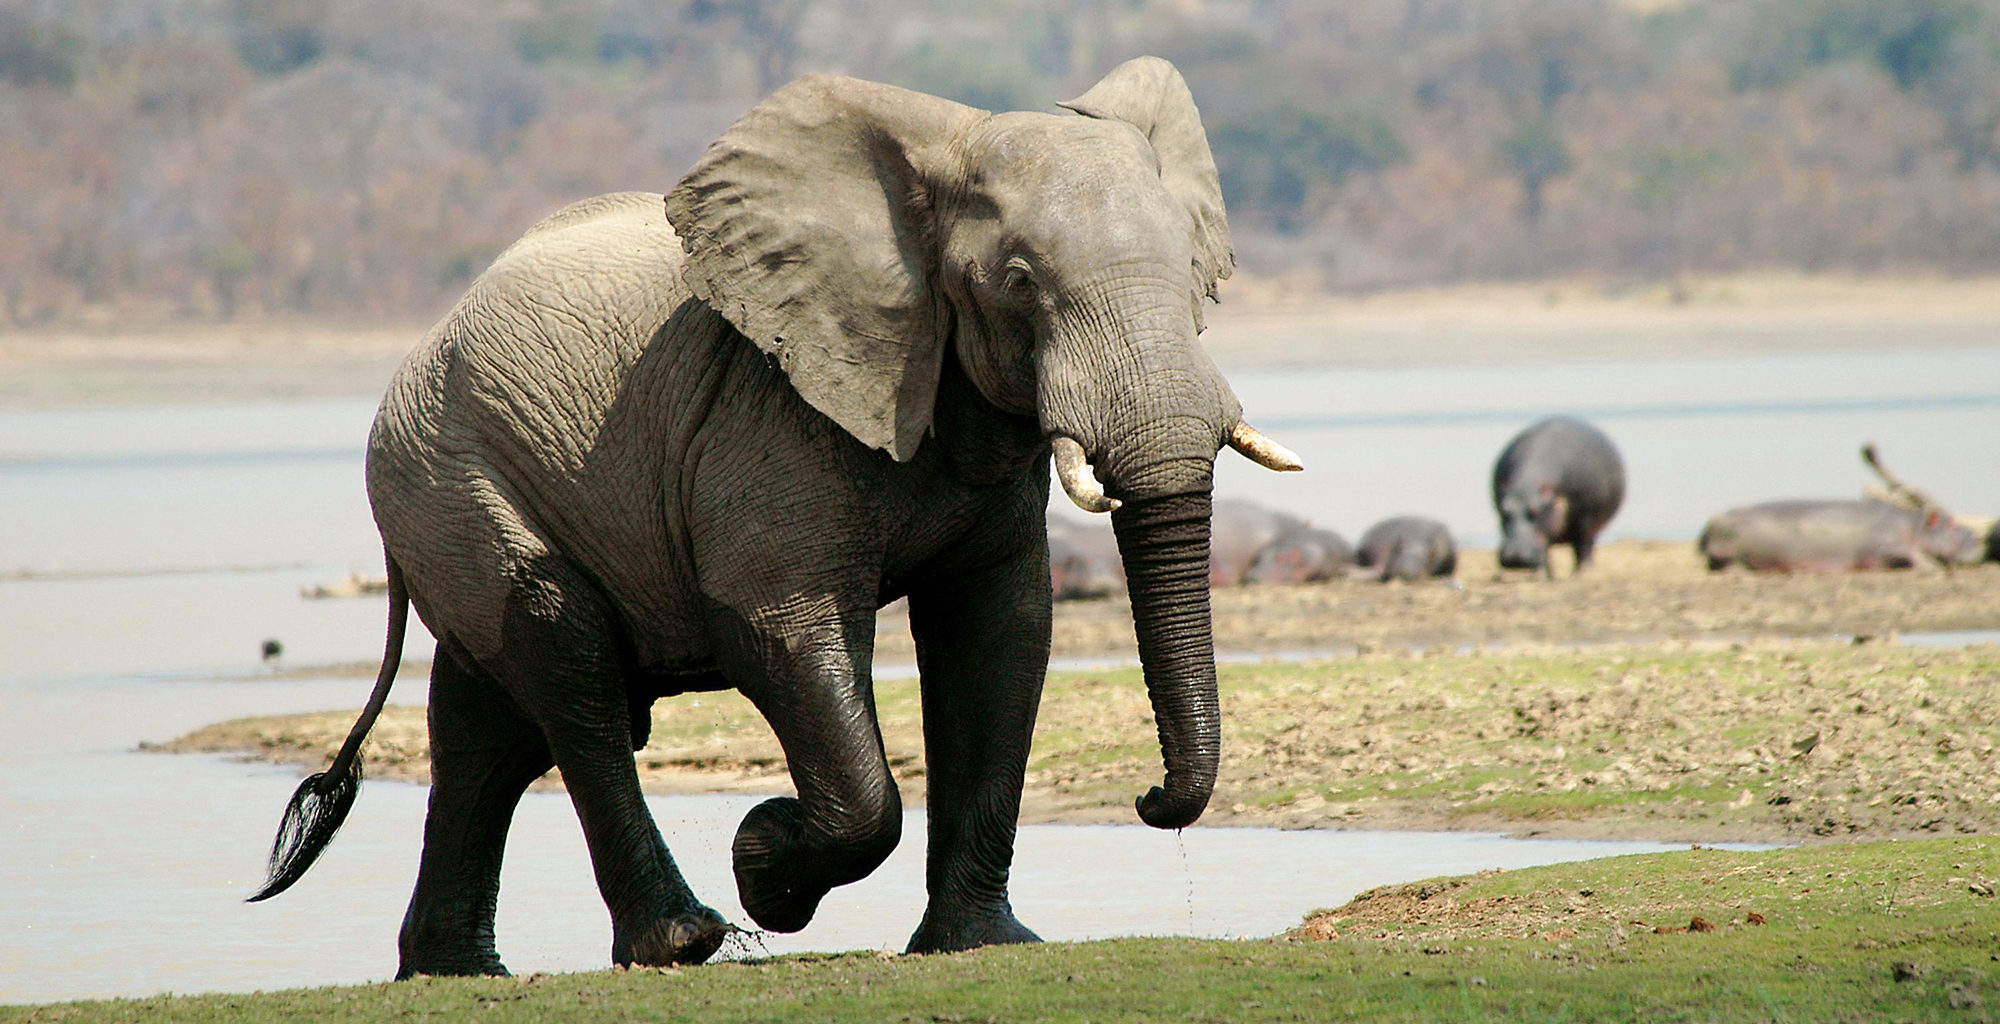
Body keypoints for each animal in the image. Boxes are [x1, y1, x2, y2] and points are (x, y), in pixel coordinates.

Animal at [246, 58, 1296, 984]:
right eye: (1019, 282)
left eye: (1195, 273)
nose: (1151, 798)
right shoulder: (771, 409)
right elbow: (777, 628)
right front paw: (765, 862)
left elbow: (999, 634)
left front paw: (983, 944)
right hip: (451, 479)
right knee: (570, 678)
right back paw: (681, 941)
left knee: (487, 728)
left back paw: (453, 971)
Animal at [1496, 414, 1616, 576]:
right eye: (1503, 511)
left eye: (1536, 511)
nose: (1516, 557)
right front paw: (1542, 574)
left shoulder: (1586, 516)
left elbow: (1582, 544)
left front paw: (1581, 572)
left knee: (1587, 545)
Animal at [1696, 498, 1992, 572]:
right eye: (1953, 526)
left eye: (1964, 526)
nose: (1979, 542)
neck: (1915, 526)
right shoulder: (1883, 542)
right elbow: (1907, 552)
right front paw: (1930, 566)